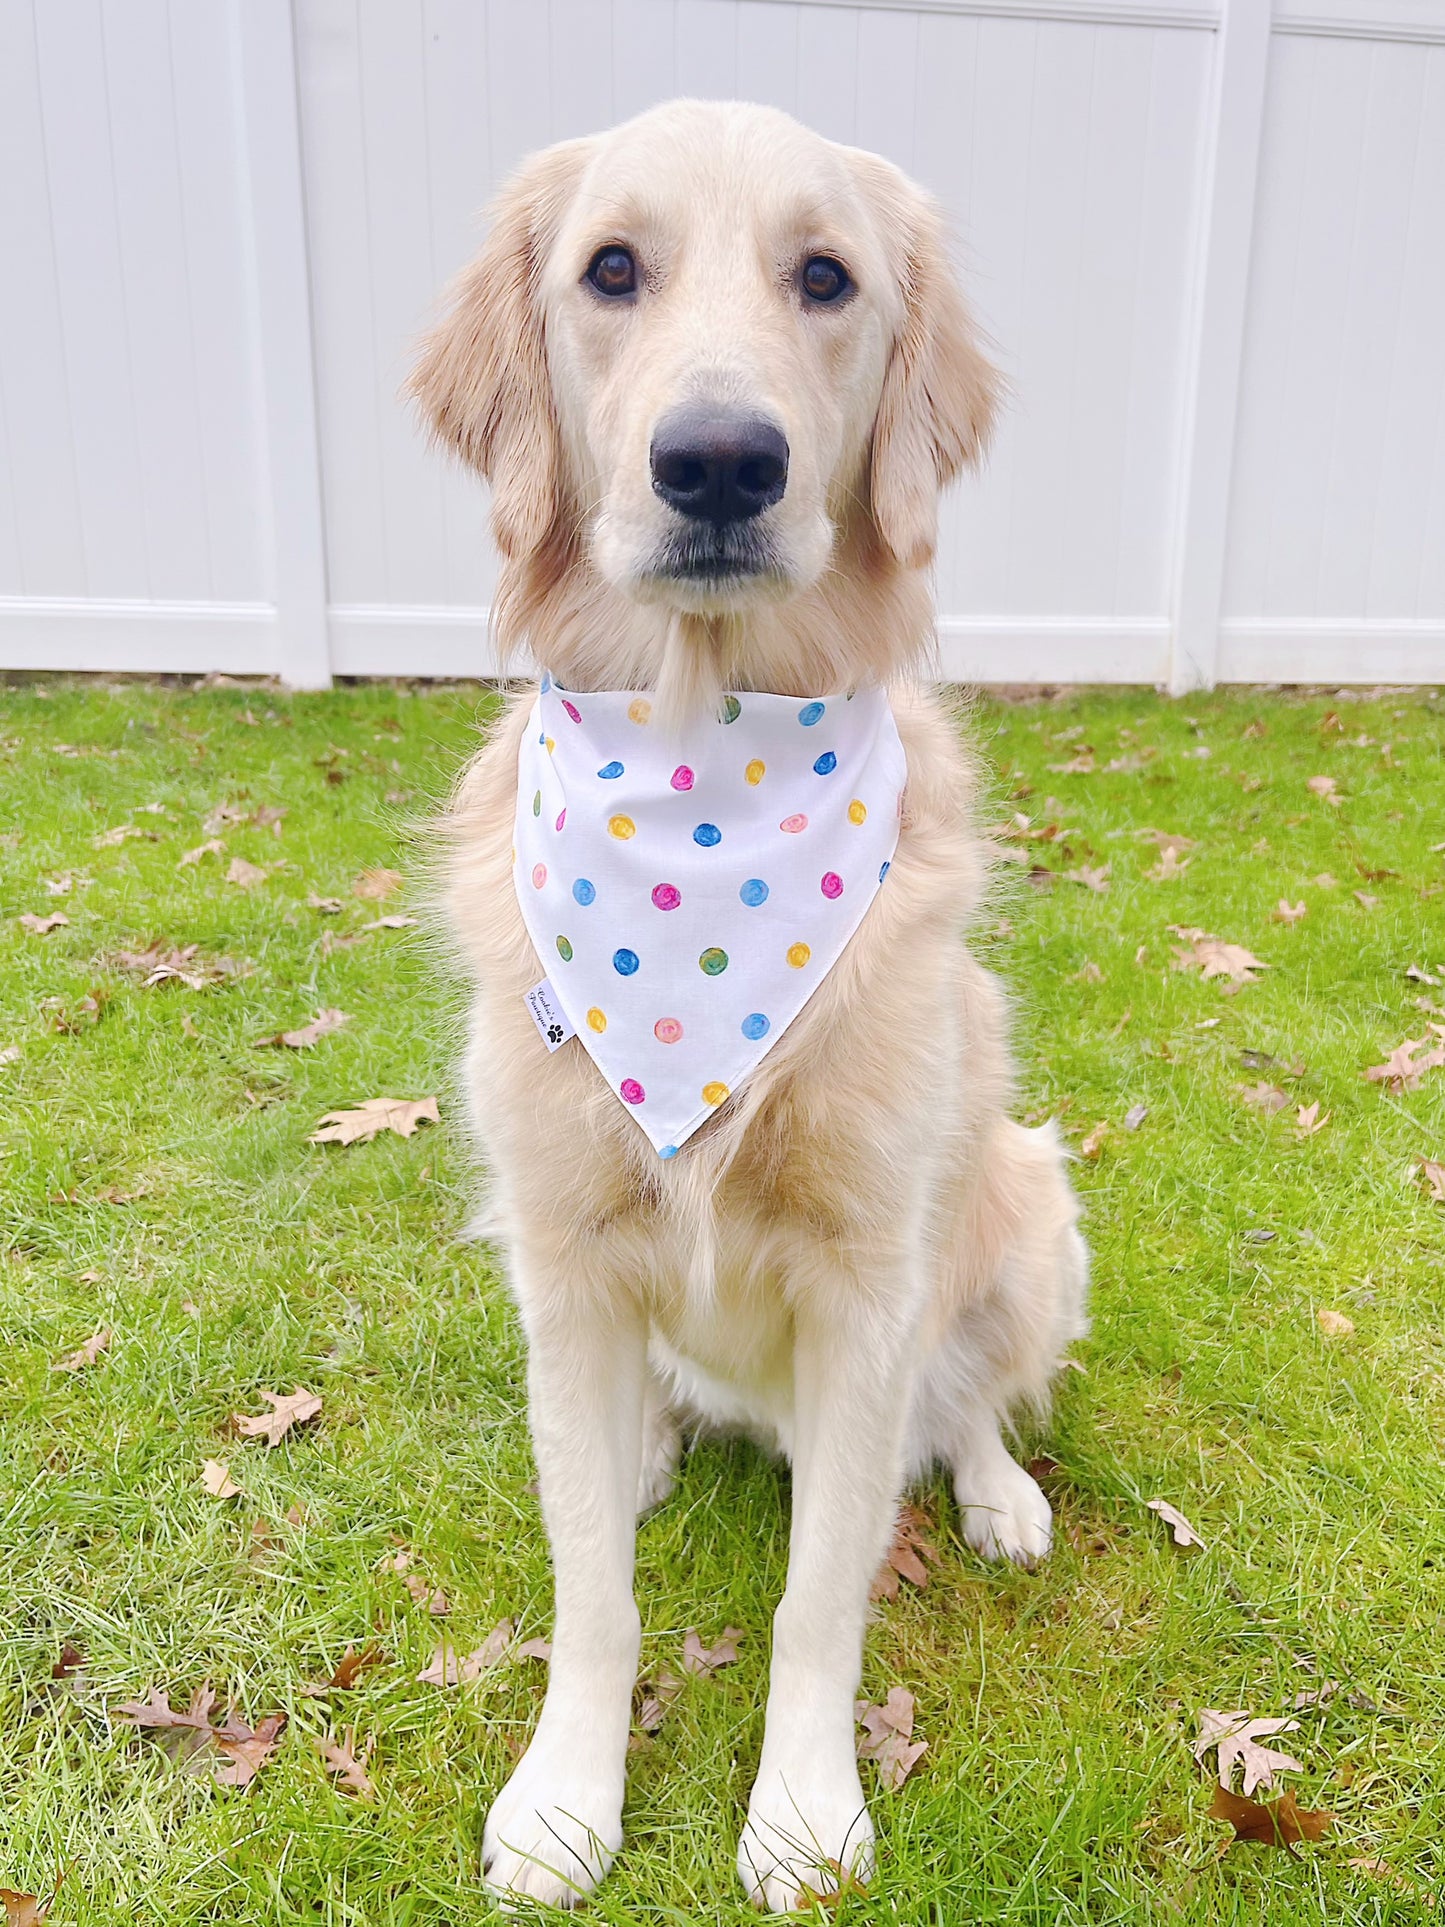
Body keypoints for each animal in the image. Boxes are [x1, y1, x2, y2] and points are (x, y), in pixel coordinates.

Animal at [408, 97, 1086, 1903]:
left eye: (827, 277)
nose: (719, 460)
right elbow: (591, 1588)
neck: (703, 781)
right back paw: (649, 1441)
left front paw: (799, 1810)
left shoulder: (868, 1288)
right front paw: (565, 1796)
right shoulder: (565, 1254)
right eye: (610, 270)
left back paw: (999, 1492)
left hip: (1028, 1205)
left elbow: (816, 1603)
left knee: (973, 1401)